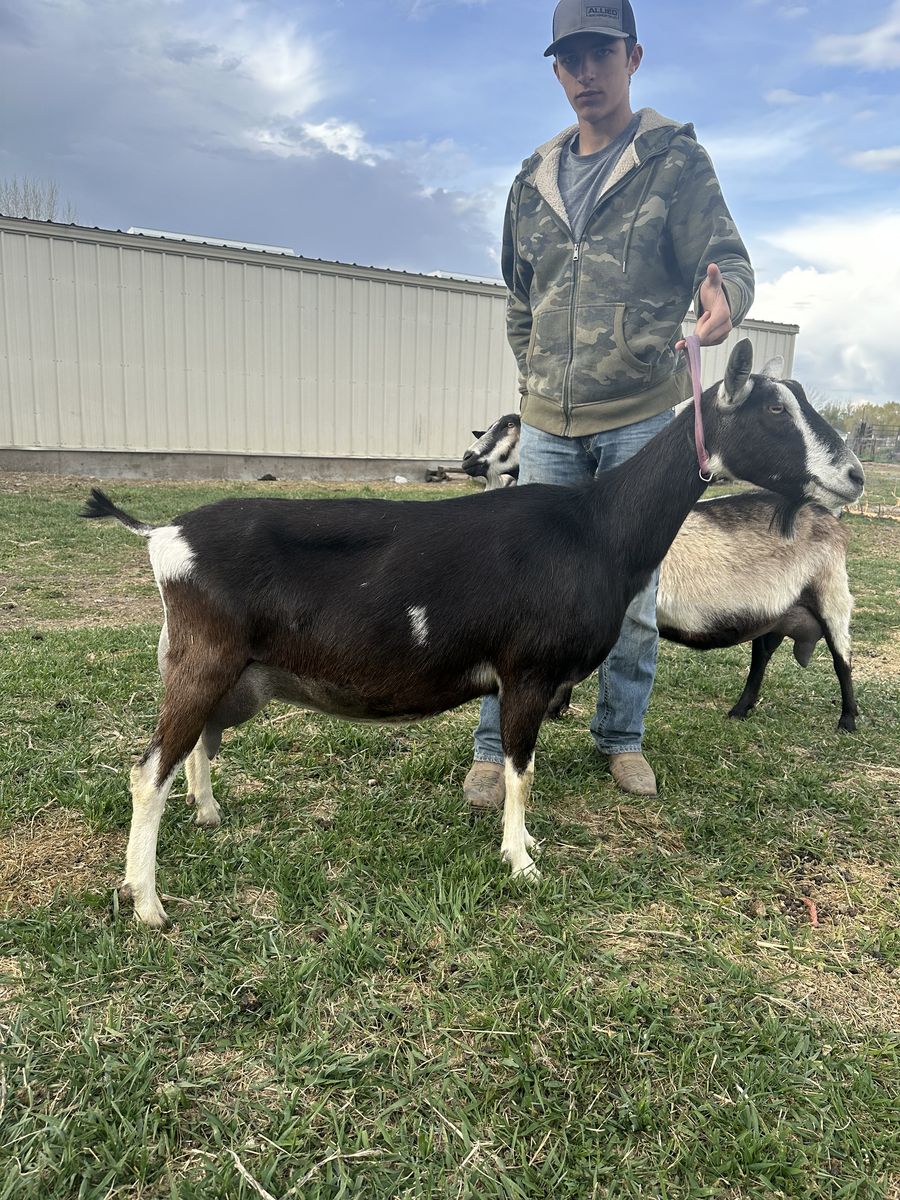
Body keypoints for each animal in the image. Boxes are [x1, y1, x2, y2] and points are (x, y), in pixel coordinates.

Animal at [465, 413, 860, 730]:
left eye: (512, 425)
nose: (468, 458)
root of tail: (831, 519)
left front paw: (555, 707)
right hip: (777, 609)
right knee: (762, 654)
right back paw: (740, 709)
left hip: (832, 593)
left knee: (842, 658)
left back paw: (848, 720)